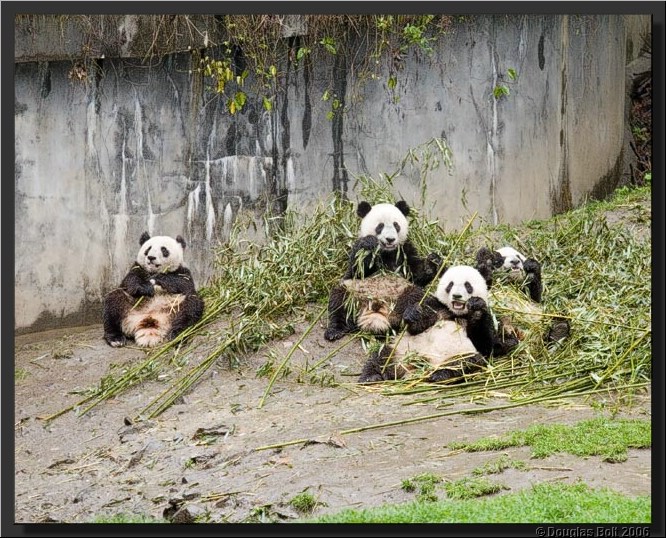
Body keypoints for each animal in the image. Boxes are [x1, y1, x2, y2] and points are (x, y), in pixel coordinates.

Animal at [324, 200, 441, 341]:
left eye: (396, 225)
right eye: (380, 226)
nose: (390, 239)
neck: (387, 252)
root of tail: (377, 311)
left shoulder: (404, 250)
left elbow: (416, 273)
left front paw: (433, 261)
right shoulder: (357, 251)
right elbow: (356, 270)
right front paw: (369, 243)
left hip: (402, 291)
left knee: (416, 296)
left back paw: (414, 317)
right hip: (353, 291)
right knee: (339, 300)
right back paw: (335, 331)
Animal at [358, 265, 502, 383]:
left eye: (468, 285)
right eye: (450, 285)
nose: (457, 296)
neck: (456, 313)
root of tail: (417, 366)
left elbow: (486, 344)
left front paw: (476, 306)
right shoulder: (437, 307)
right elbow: (417, 327)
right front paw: (413, 314)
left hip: (457, 354)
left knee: (465, 362)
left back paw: (440, 374)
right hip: (400, 350)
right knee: (381, 355)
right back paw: (371, 376)